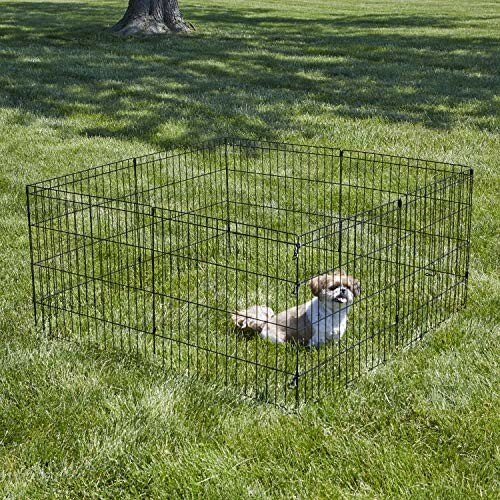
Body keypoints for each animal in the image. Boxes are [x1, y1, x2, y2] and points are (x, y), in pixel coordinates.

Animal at [232, 270, 362, 348]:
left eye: (349, 287)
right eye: (333, 287)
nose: (343, 290)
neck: (333, 313)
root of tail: (265, 323)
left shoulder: (335, 337)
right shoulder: (317, 337)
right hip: (278, 338)